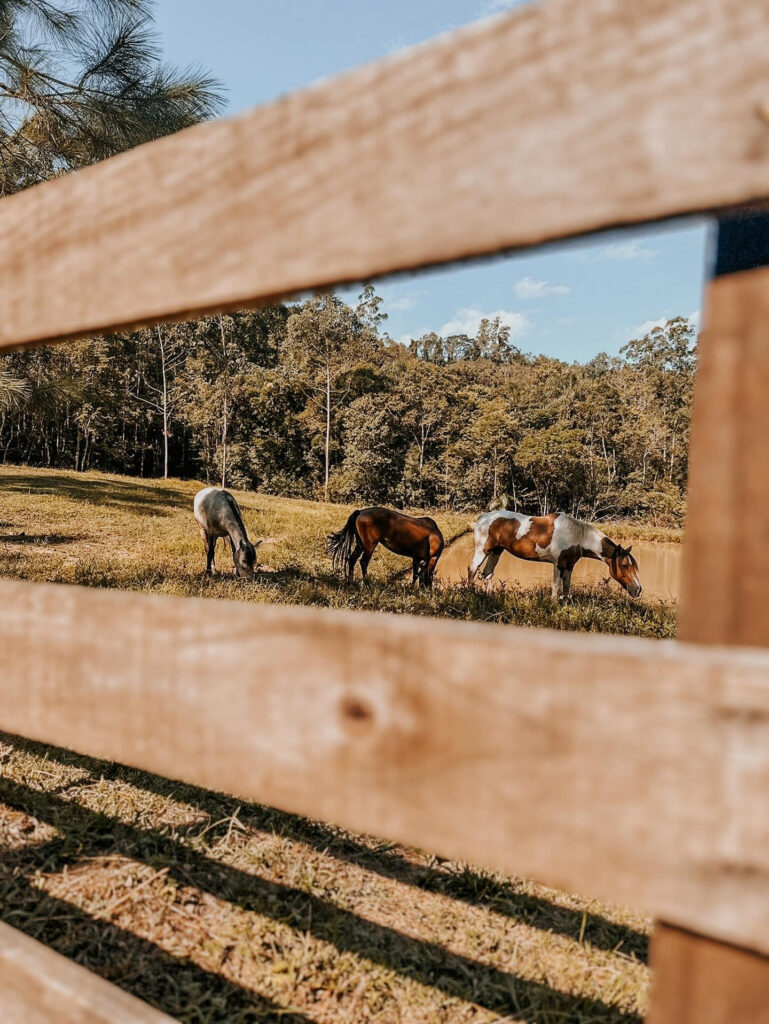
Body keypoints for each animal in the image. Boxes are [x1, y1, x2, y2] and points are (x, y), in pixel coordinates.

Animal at [468, 509, 643, 598]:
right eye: (624, 565)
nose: (638, 590)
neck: (576, 536)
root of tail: (483, 517)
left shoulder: (569, 566)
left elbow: (566, 587)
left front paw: (565, 605)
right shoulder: (558, 565)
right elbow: (555, 587)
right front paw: (553, 607)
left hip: (496, 551)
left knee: (488, 572)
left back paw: (489, 596)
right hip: (482, 550)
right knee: (473, 569)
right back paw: (469, 593)